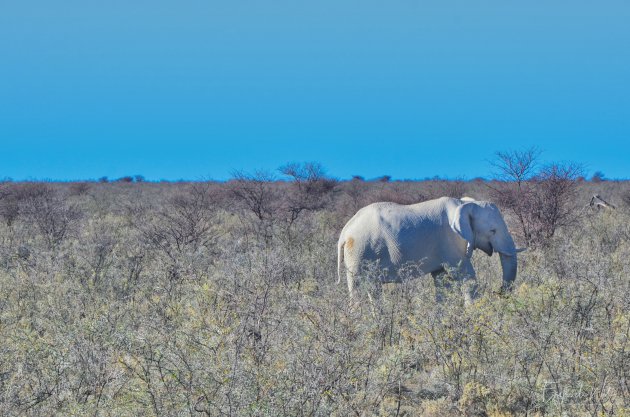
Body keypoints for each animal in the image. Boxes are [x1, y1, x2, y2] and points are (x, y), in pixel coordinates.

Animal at [338, 197, 524, 300]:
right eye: (493, 231)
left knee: (372, 290)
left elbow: (441, 281)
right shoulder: (450, 241)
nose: (498, 292)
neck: (464, 204)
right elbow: (466, 278)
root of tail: (344, 233)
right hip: (359, 252)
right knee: (359, 291)